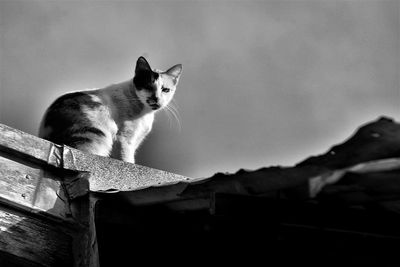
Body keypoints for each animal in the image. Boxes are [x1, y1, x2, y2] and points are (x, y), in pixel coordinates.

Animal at [38, 56, 182, 163]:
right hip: (97, 135)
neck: (144, 112)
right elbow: (127, 159)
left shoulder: (135, 141)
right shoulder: (123, 139)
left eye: (165, 90)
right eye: (148, 87)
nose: (156, 98)